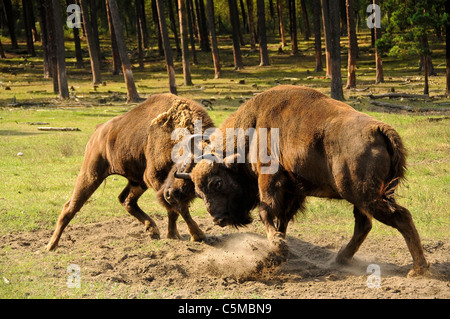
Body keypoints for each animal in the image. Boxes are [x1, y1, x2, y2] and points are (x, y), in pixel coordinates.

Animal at [46, 94, 214, 251]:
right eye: (185, 166)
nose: (170, 194)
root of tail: (99, 130)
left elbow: (174, 209)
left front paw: (173, 235)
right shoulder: (154, 178)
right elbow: (178, 208)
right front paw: (197, 235)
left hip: (137, 181)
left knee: (125, 200)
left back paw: (152, 230)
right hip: (91, 174)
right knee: (70, 207)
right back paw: (51, 246)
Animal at [171, 85, 428, 278]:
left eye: (217, 183)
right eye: (198, 191)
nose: (217, 218)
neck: (252, 129)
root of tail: (379, 128)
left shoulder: (270, 181)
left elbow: (266, 211)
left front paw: (276, 245)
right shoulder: (293, 191)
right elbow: (282, 219)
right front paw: (281, 246)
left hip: (366, 196)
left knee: (400, 217)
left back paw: (418, 270)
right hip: (363, 196)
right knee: (364, 224)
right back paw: (339, 260)